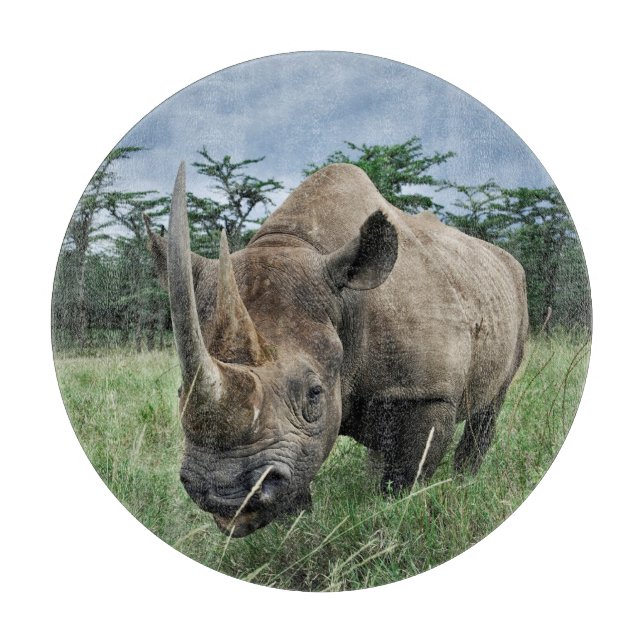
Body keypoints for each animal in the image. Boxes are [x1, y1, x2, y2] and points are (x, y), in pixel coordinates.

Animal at [146, 162, 528, 537]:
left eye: (314, 393)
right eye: (180, 392)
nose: (224, 495)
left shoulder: (428, 393)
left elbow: (406, 476)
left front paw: (394, 517)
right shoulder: (297, 441)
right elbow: (299, 480)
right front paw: (297, 533)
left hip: (514, 290)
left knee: (490, 406)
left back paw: (464, 483)